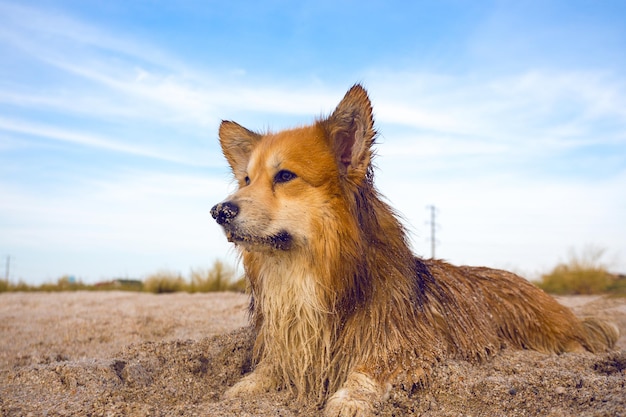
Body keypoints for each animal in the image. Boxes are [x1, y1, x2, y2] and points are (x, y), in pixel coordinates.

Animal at [210, 84, 616, 416]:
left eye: (285, 176)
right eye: (246, 180)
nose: (218, 212)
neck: (309, 272)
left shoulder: (406, 346)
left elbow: (366, 370)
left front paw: (347, 400)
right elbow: (269, 368)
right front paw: (242, 387)